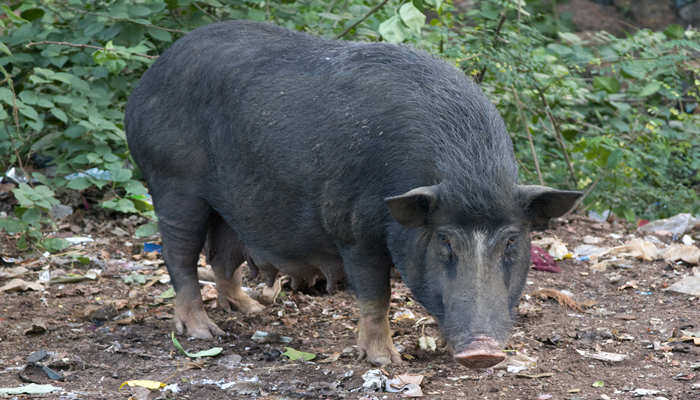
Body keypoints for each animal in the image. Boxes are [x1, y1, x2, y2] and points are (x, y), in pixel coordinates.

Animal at [126, 20, 580, 368]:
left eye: (512, 242)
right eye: (445, 241)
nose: (482, 353)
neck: (469, 172)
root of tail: (153, 72)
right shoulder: (354, 229)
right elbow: (376, 294)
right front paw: (386, 361)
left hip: (227, 206)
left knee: (222, 256)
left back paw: (253, 310)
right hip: (172, 183)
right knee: (180, 257)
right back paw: (204, 333)